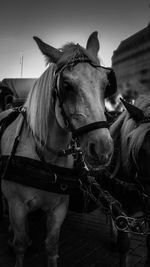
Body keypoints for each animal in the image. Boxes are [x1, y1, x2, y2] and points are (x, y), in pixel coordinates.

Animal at [0, 31, 116, 267]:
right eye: (67, 86)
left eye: (105, 83)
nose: (102, 149)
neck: (47, 159)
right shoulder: (17, 207)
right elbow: (20, 244)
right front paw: (18, 246)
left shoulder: (59, 208)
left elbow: (52, 245)